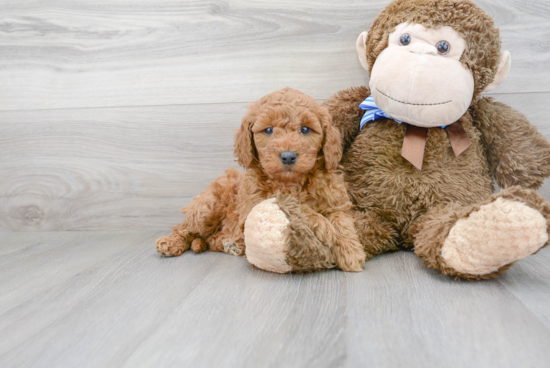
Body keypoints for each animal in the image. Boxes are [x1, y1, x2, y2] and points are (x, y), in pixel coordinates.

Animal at [155, 87, 368, 272]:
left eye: (306, 130)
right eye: (268, 130)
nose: (288, 156)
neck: (291, 182)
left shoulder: (336, 201)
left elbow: (342, 221)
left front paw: (351, 252)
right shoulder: (255, 204)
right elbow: (295, 205)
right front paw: (324, 226)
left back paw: (231, 244)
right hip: (207, 207)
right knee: (185, 228)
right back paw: (170, 242)